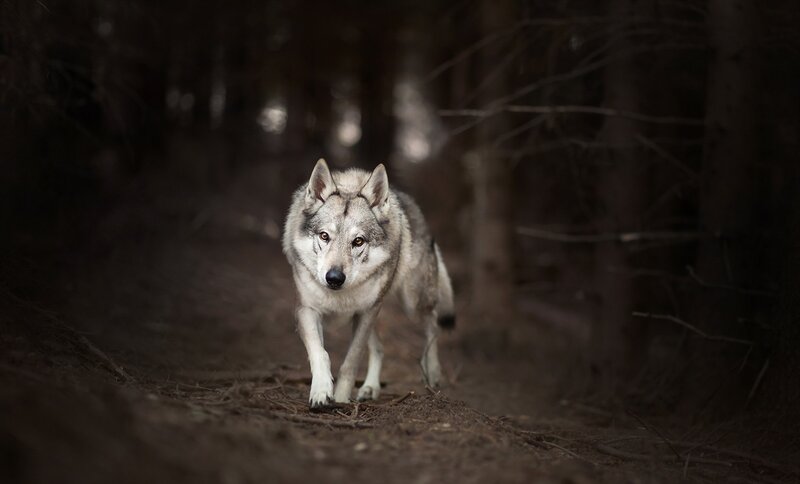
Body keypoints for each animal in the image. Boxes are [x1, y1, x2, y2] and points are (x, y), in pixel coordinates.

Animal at [282, 159, 455, 408]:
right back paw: (370, 387)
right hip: (373, 313)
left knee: (433, 324)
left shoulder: (366, 312)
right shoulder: (307, 310)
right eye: (324, 236)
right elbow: (320, 353)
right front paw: (321, 393)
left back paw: (431, 371)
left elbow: (350, 362)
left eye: (358, 241)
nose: (334, 278)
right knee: (380, 347)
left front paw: (341, 400)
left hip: (410, 302)